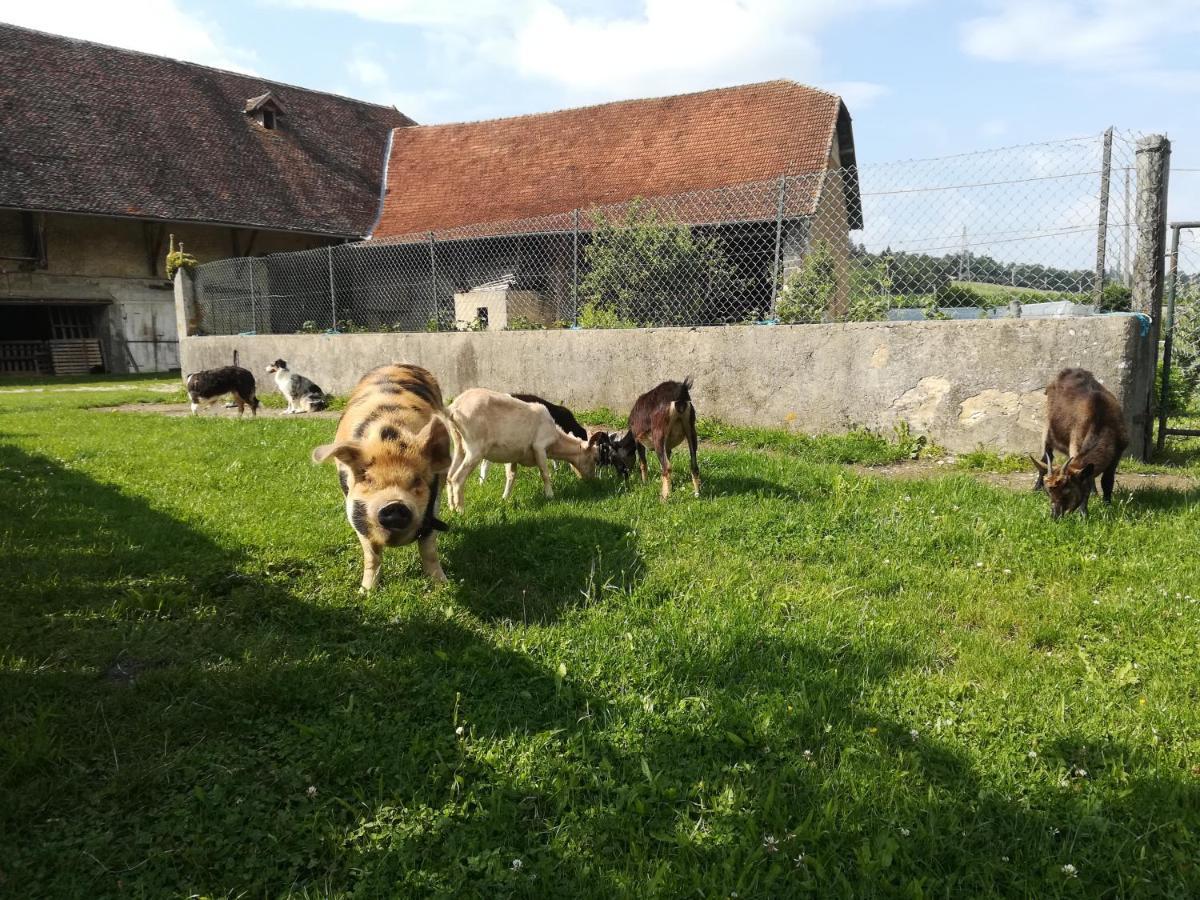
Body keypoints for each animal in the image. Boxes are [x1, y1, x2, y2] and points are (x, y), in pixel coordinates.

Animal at [312, 367, 451, 592]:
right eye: (367, 479)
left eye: (417, 480)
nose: (394, 504)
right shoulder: (355, 516)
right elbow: (372, 556)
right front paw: (366, 592)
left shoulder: (433, 507)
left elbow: (429, 549)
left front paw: (442, 586)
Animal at [444, 388, 600, 511]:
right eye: (594, 458)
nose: (591, 480)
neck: (556, 439)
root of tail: (454, 407)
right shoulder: (539, 447)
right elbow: (545, 474)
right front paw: (550, 496)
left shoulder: (512, 455)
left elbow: (511, 476)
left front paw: (505, 498)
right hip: (475, 448)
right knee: (458, 478)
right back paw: (461, 510)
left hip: (459, 446)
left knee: (449, 476)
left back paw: (452, 507)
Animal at [1032, 367, 1123, 520]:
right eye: (1048, 493)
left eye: (1067, 491)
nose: (1055, 515)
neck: (1102, 421)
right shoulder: (1076, 443)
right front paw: (1084, 513)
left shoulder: (1118, 452)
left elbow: (1107, 481)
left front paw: (1106, 505)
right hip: (1047, 425)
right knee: (1045, 456)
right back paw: (1035, 488)